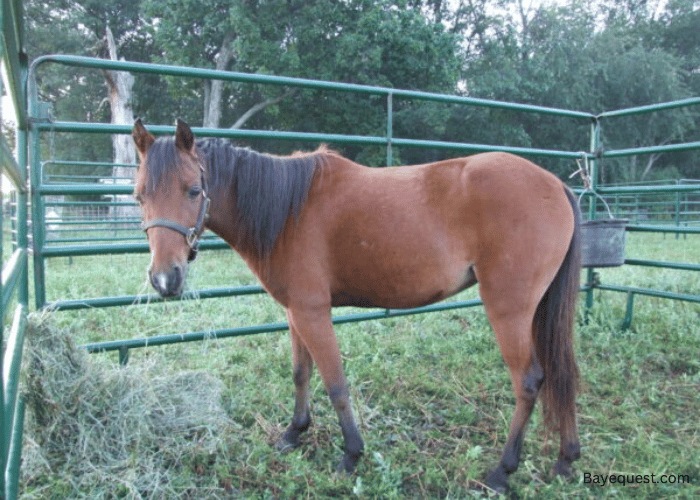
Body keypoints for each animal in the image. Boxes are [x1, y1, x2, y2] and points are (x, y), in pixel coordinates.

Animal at [134, 119, 584, 490]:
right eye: (139, 196)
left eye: (194, 190)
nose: (164, 279)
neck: (288, 209)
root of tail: (556, 185)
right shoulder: (295, 312)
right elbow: (300, 373)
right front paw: (294, 433)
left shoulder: (313, 312)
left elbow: (335, 383)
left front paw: (351, 454)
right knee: (560, 371)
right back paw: (566, 459)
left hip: (509, 310)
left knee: (529, 381)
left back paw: (502, 471)